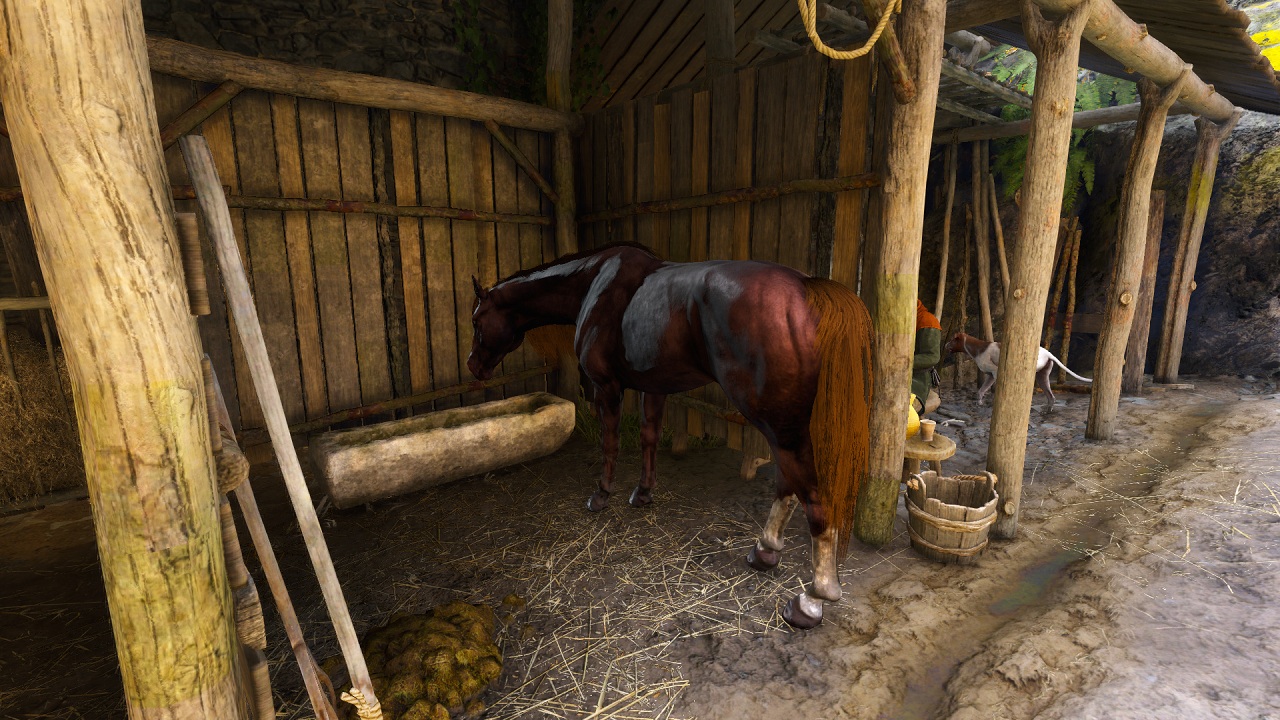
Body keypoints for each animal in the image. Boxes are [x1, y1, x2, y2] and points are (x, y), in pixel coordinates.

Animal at [466, 243, 873, 628]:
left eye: (477, 318)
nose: (473, 366)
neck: (594, 285)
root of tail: (805, 288)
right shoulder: (654, 387)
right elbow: (649, 437)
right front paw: (643, 492)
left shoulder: (606, 387)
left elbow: (610, 442)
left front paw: (601, 495)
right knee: (788, 483)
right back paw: (765, 550)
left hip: (779, 424)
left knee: (811, 493)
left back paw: (814, 598)